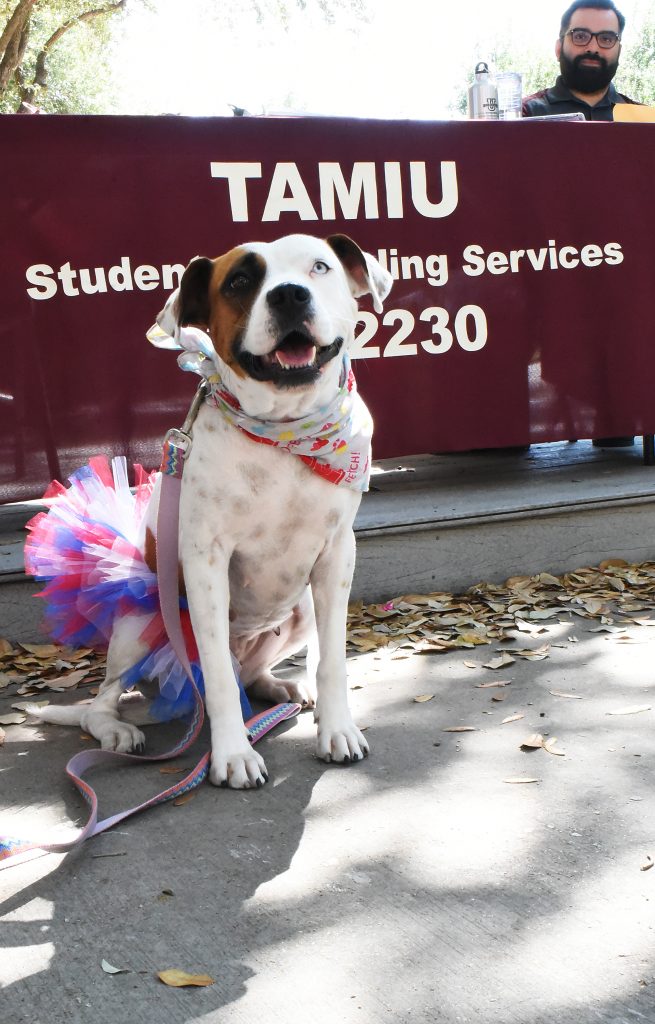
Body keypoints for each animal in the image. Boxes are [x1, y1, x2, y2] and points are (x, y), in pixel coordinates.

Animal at [35, 235, 390, 786]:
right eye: (240, 281)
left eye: (319, 266)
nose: (289, 294)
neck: (283, 434)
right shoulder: (205, 563)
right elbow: (219, 677)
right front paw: (233, 754)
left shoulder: (336, 557)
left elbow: (331, 659)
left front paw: (338, 731)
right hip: (139, 625)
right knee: (107, 700)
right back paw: (117, 731)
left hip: (302, 611)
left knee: (254, 674)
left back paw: (284, 687)